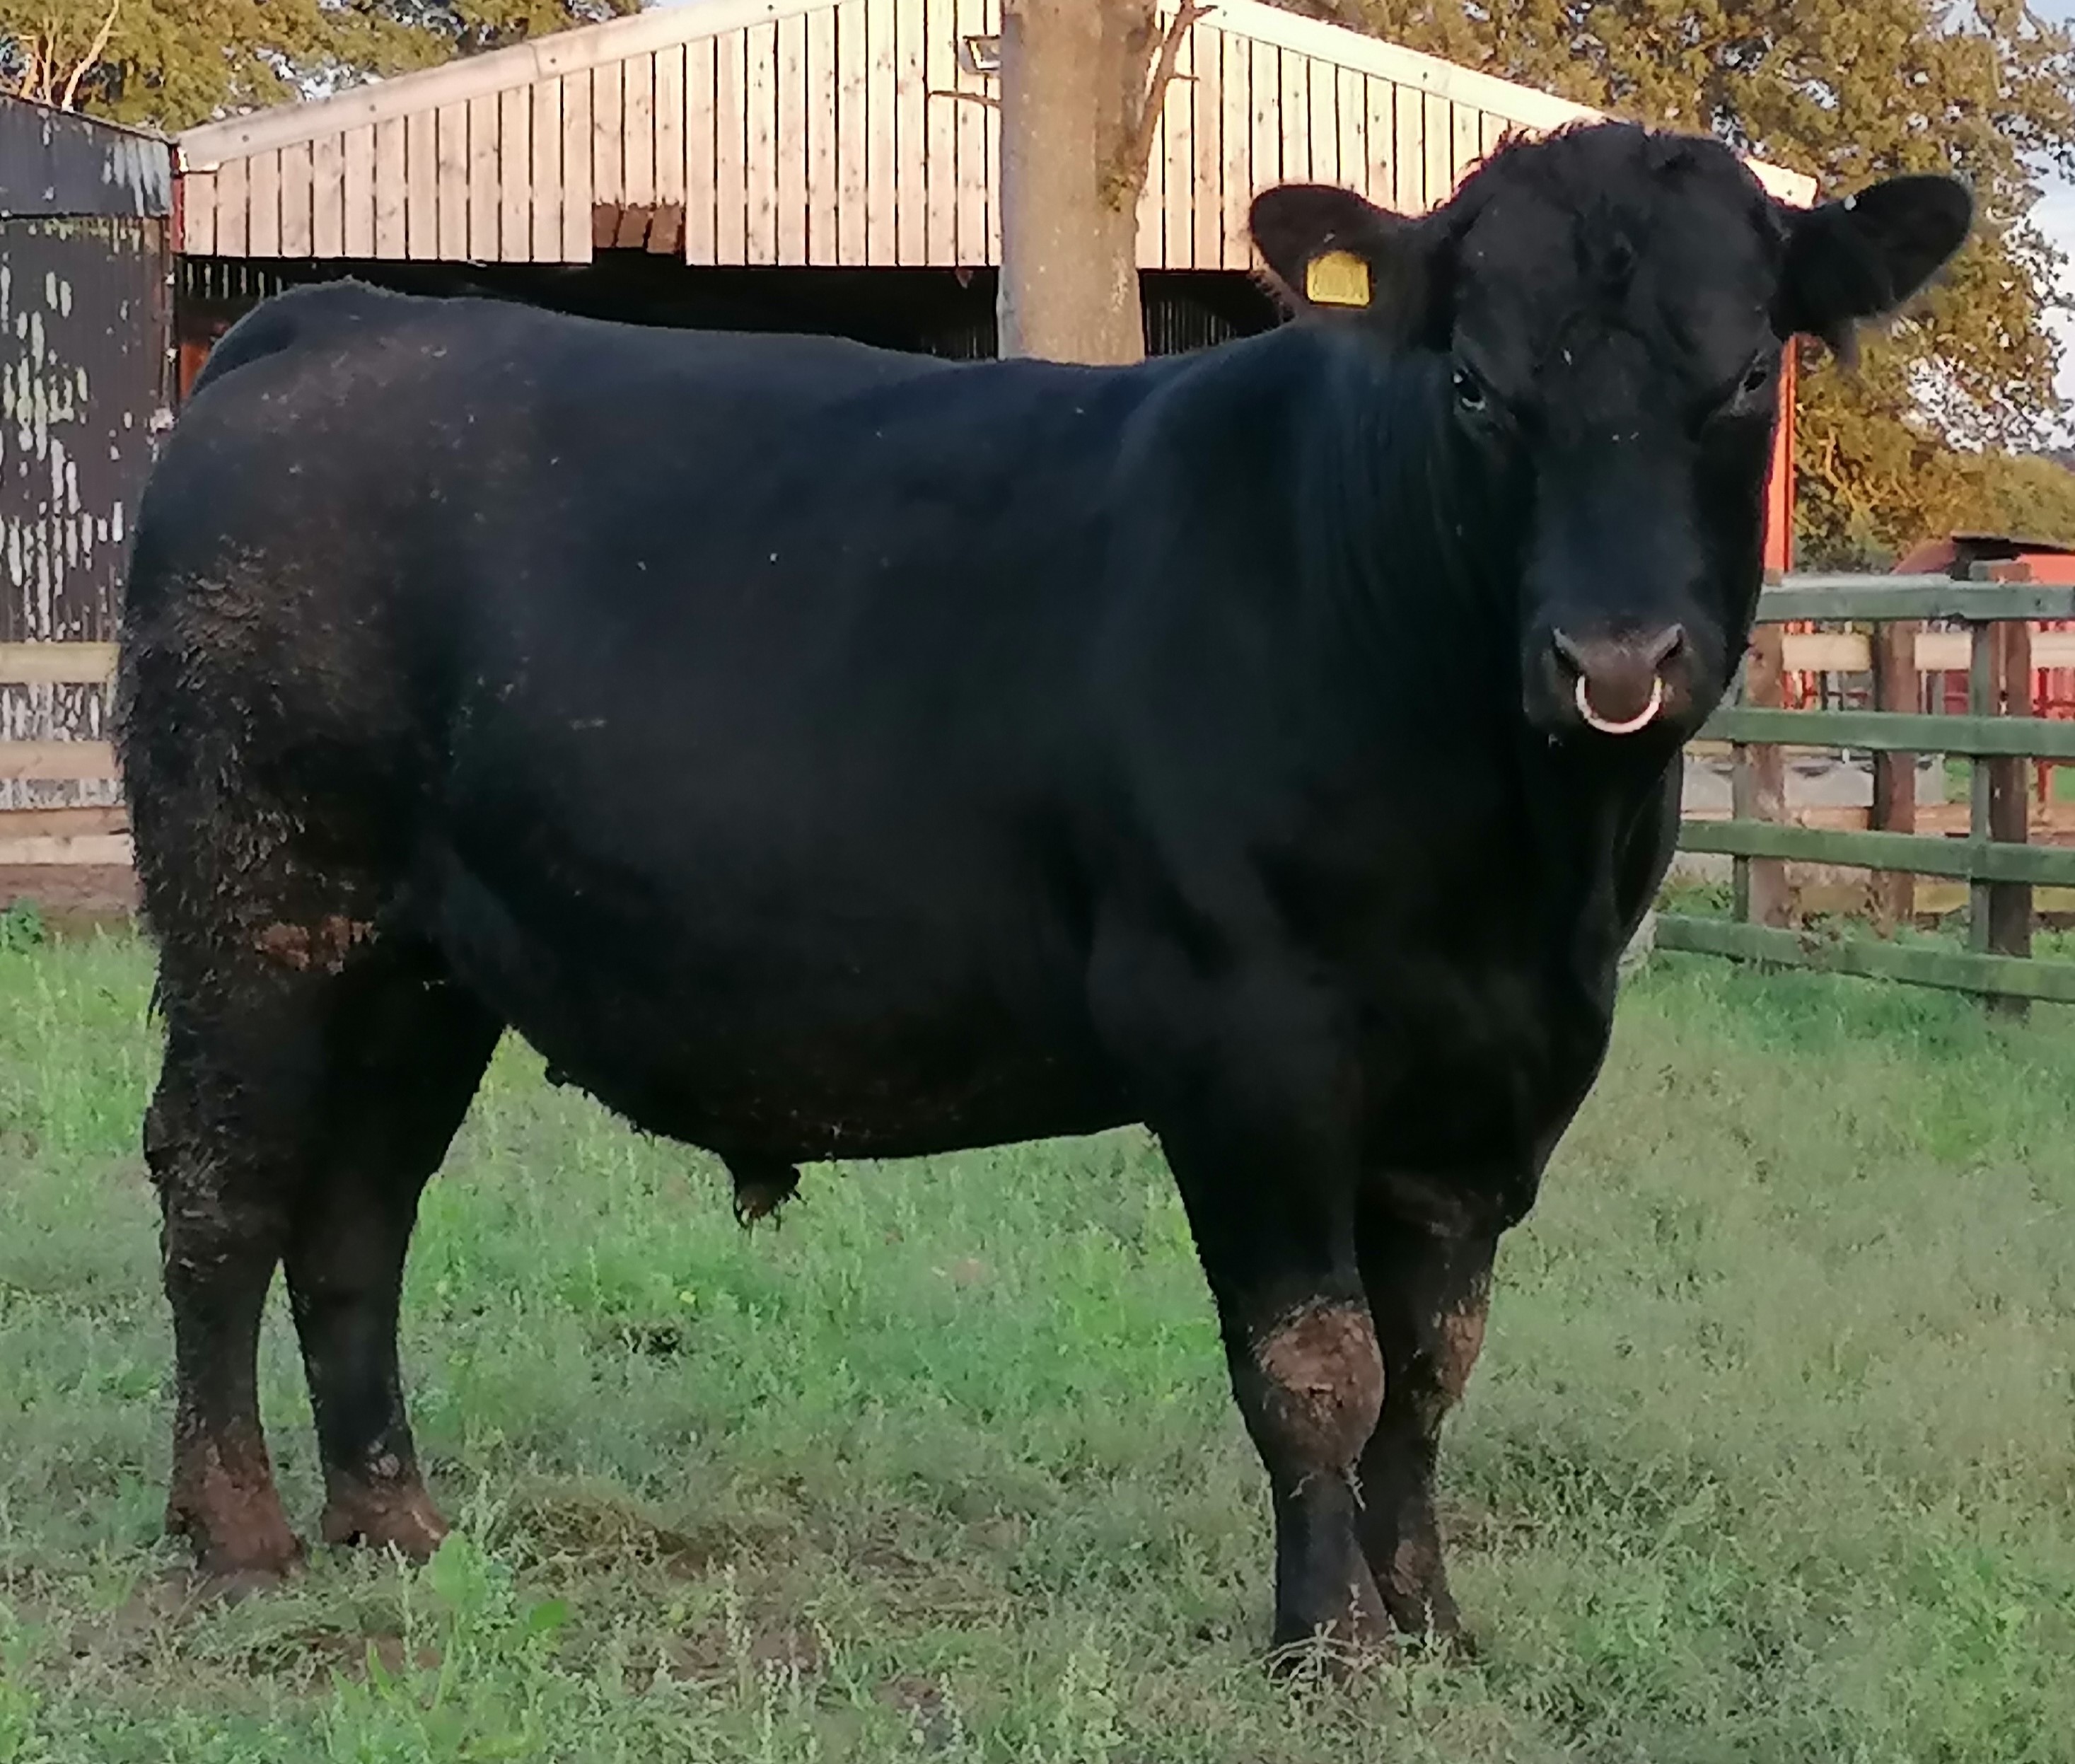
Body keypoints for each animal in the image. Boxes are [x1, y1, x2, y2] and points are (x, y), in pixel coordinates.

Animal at [116, 120, 1969, 1659]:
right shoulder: (1246, 1037)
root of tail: (333, 322)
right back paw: (236, 1529)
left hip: (422, 960)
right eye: (1474, 385)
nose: (1618, 658)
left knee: (359, 1208)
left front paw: (1435, 1620)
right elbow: (1317, 1364)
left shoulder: (1498, 1080)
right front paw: (1331, 1643)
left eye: (1744, 373)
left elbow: (1433, 1370)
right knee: (221, 1187)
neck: (1525, 870)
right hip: (259, 902)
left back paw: (394, 1520)